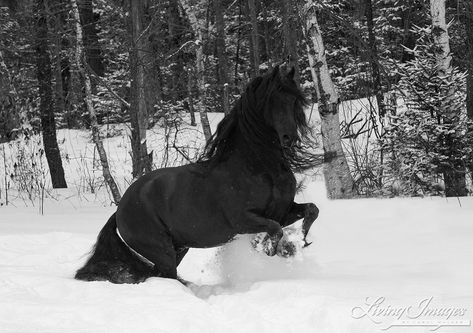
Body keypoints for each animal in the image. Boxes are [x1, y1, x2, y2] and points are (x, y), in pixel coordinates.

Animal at [75, 67, 318, 282]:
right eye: (272, 100)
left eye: (295, 100)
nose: (289, 138)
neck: (258, 168)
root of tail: (120, 210)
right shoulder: (243, 221)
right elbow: (274, 230)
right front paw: (269, 249)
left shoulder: (282, 211)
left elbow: (311, 210)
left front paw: (300, 242)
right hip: (161, 250)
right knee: (165, 276)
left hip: (179, 247)